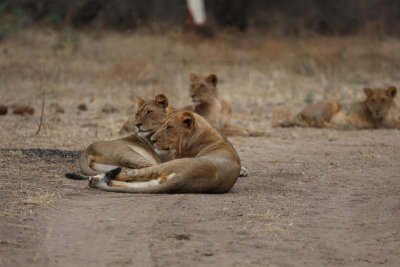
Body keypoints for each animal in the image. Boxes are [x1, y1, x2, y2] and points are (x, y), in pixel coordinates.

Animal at [270, 87, 398, 130]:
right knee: (318, 122)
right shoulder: (381, 123)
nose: (377, 110)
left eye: (383, 99)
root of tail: (301, 111)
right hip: (332, 103)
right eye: (373, 100)